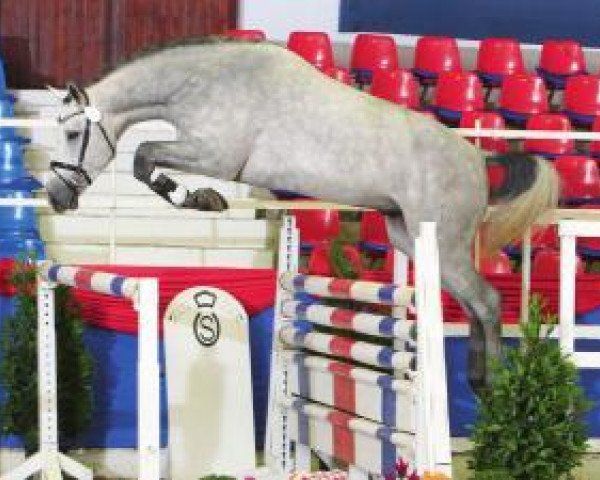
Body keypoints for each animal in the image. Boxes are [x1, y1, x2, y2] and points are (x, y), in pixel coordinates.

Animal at [45, 39, 556, 392]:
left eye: (71, 134)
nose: (54, 195)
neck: (201, 83)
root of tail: (478, 158)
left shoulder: (215, 156)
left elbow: (144, 156)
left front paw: (201, 198)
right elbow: (145, 158)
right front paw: (199, 198)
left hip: (443, 245)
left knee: (487, 302)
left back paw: (495, 388)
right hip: (412, 238)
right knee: (472, 306)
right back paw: (477, 379)